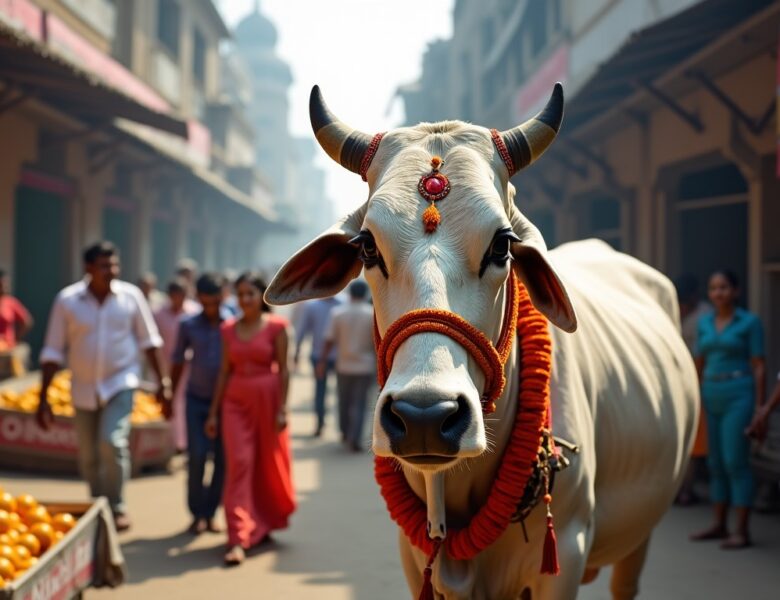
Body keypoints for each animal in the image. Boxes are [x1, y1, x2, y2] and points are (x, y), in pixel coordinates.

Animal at [265, 84, 698, 600]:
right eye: (368, 246)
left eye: (502, 245)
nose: (424, 417)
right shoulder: (414, 560)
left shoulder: (565, 557)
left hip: (638, 535)